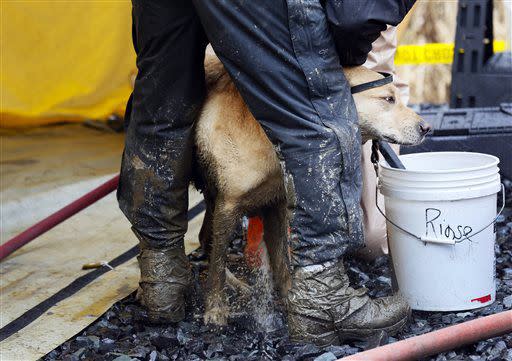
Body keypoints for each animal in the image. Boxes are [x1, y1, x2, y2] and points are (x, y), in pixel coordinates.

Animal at [193, 54, 428, 326]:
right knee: (211, 248)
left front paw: (290, 300)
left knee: (205, 240)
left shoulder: (275, 205)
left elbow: (281, 260)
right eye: (388, 99)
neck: (270, 133)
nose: (427, 128)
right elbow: (218, 263)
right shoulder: (228, 205)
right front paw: (215, 309)